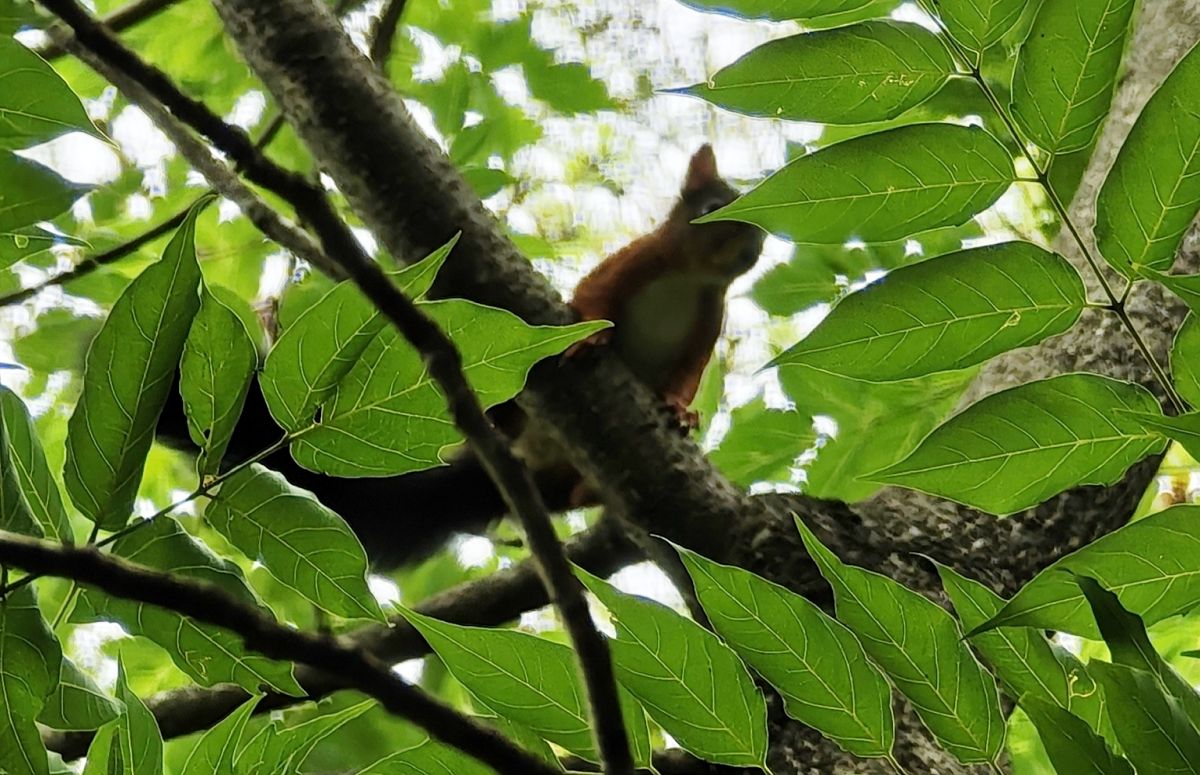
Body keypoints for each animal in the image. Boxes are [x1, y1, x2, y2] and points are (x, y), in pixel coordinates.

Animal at [156, 144, 764, 568]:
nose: (756, 247)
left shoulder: (705, 328)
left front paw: (681, 413)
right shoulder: (628, 266)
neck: (690, 278)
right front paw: (589, 339)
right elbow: (591, 303)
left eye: (761, 226)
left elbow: (685, 377)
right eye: (715, 207)